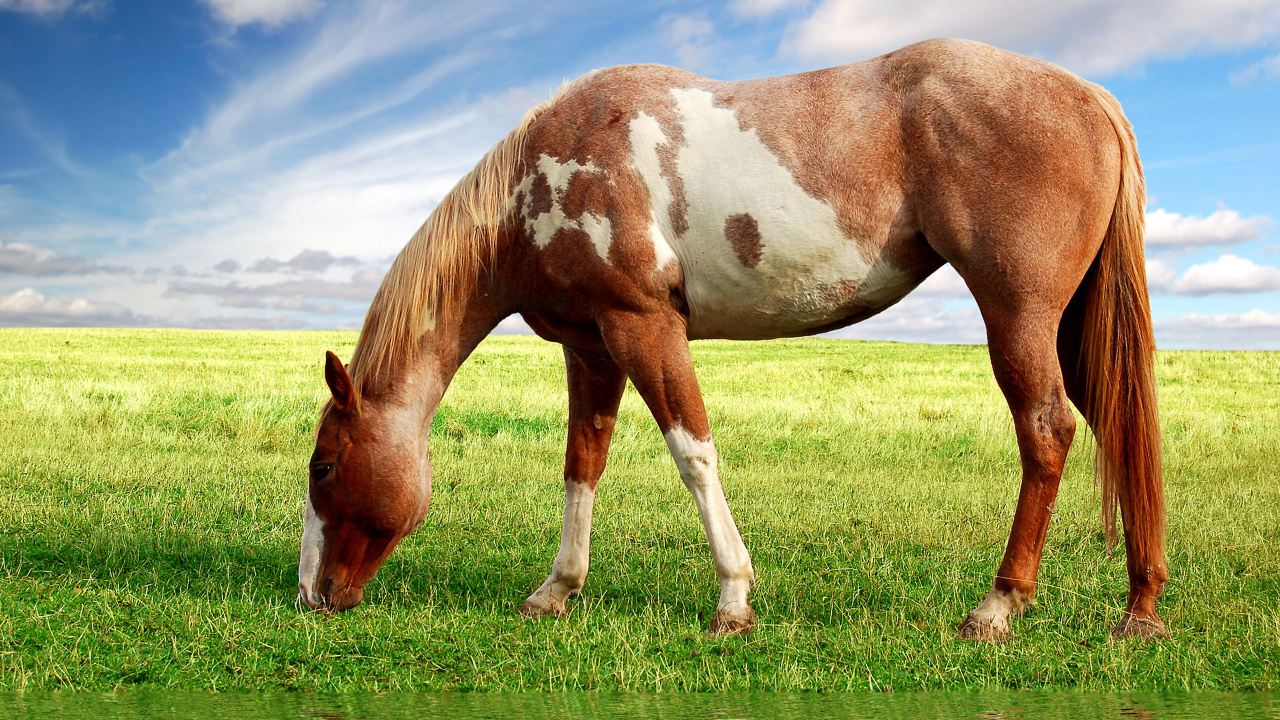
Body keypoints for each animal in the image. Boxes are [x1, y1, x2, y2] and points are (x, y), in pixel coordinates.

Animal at [297, 38, 1168, 641]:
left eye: (325, 466)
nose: (310, 595)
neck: (540, 181)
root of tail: (1089, 95)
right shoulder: (591, 347)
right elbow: (582, 466)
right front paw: (556, 591)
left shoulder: (644, 328)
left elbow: (693, 454)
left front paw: (733, 599)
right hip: (1073, 330)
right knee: (1120, 430)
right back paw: (1141, 607)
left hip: (1019, 316)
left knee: (1047, 433)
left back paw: (997, 606)